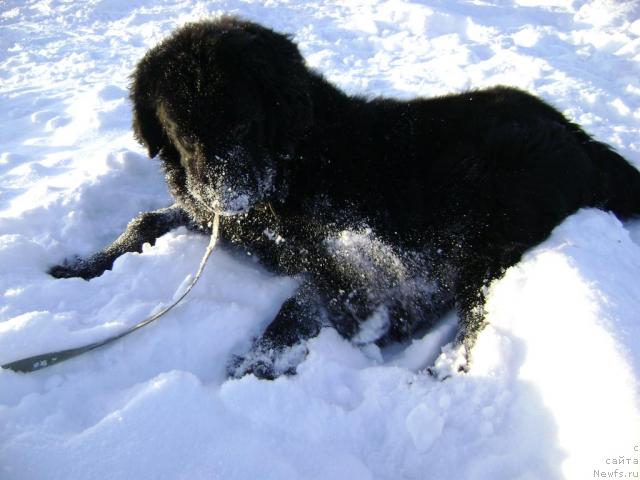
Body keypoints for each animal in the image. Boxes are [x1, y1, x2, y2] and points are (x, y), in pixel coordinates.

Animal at [50, 17, 640, 378]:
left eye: (242, 123)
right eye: (183, 133)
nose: (226, 194)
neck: (295, 162)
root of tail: (575, 133)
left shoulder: (363, 264)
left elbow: (300, 304)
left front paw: (256, 363)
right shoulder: (223, 220)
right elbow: (146, 221)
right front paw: (81, 265)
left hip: (485, 223)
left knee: (479, 313)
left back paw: (440, 374)